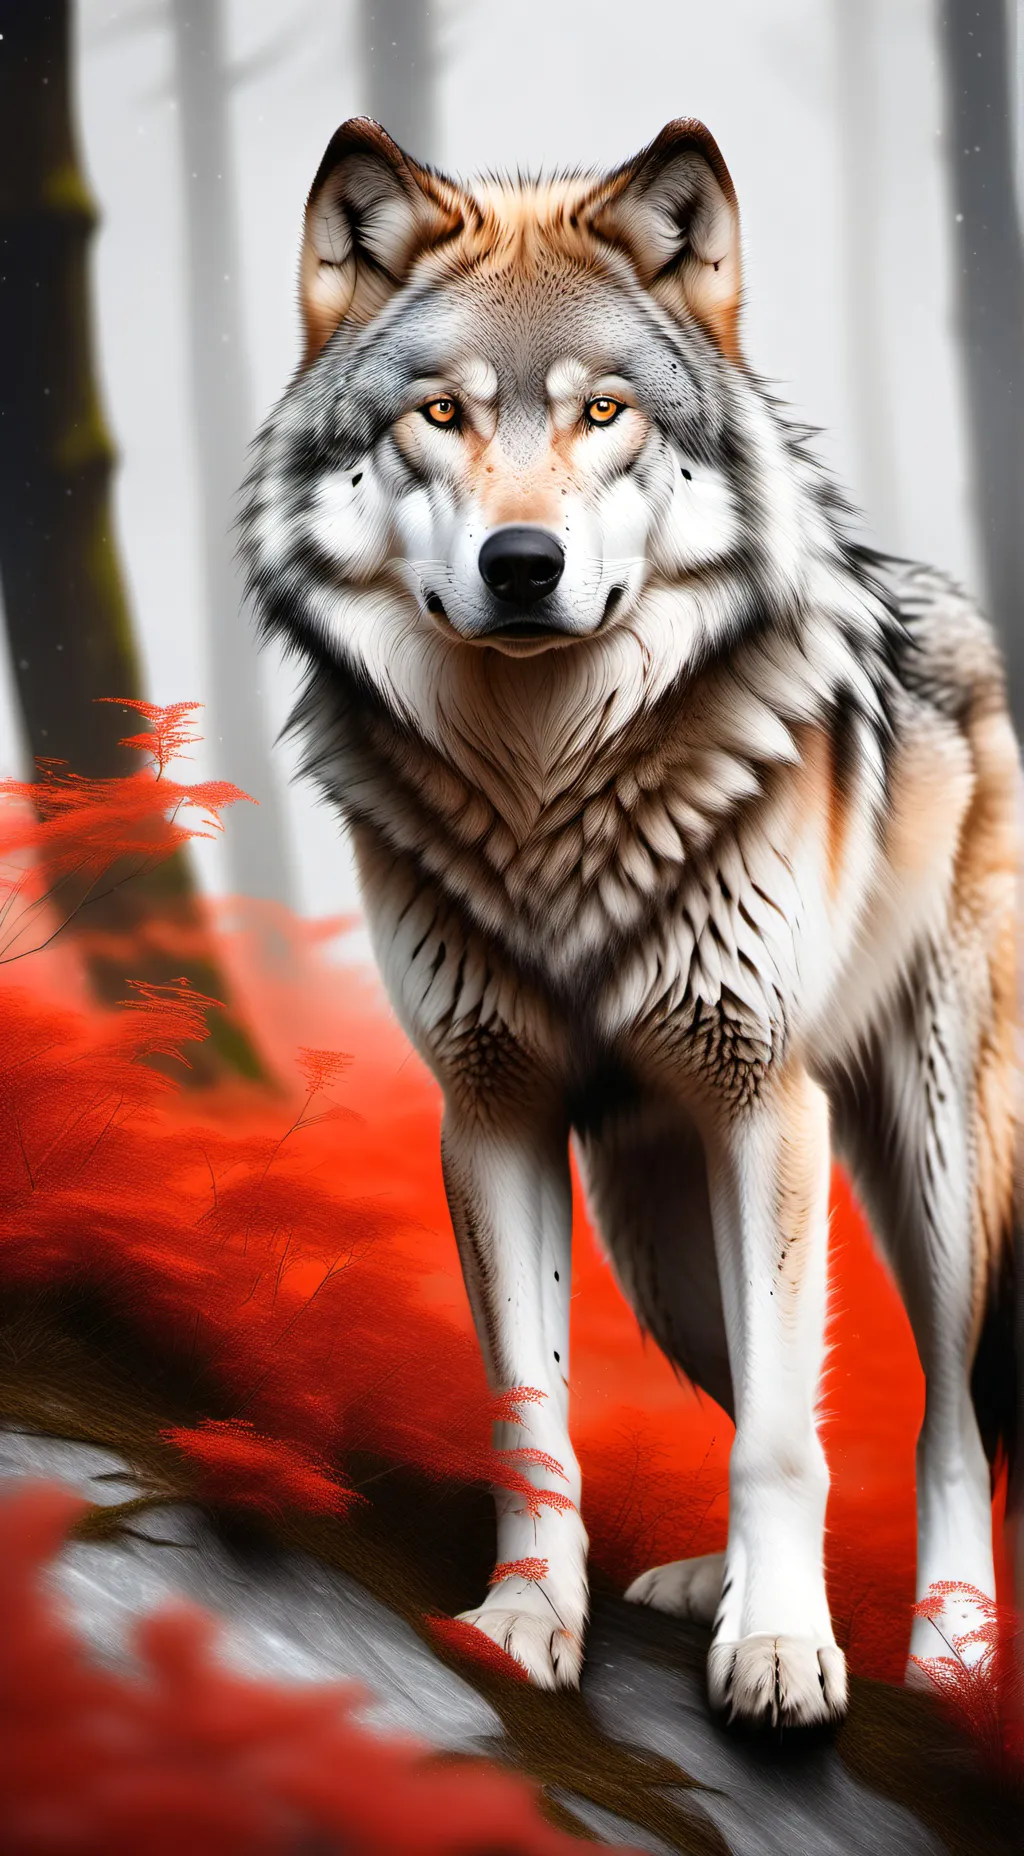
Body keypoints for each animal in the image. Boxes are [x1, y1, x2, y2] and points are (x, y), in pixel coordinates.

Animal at [241, 116, 1020, 1730]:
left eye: (603, 411)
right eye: (440, 416)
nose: (523, 565)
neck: (549, 788)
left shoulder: (762, 1099)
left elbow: (787, 1436)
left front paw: (781, 1652)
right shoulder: (491, 1113)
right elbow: (536, 1416)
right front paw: (527, 1621)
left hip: (927, 1164)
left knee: (945, 1418)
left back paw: (947, 1656)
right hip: (654, 1230)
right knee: (749, 1382)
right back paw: (717, 1582)